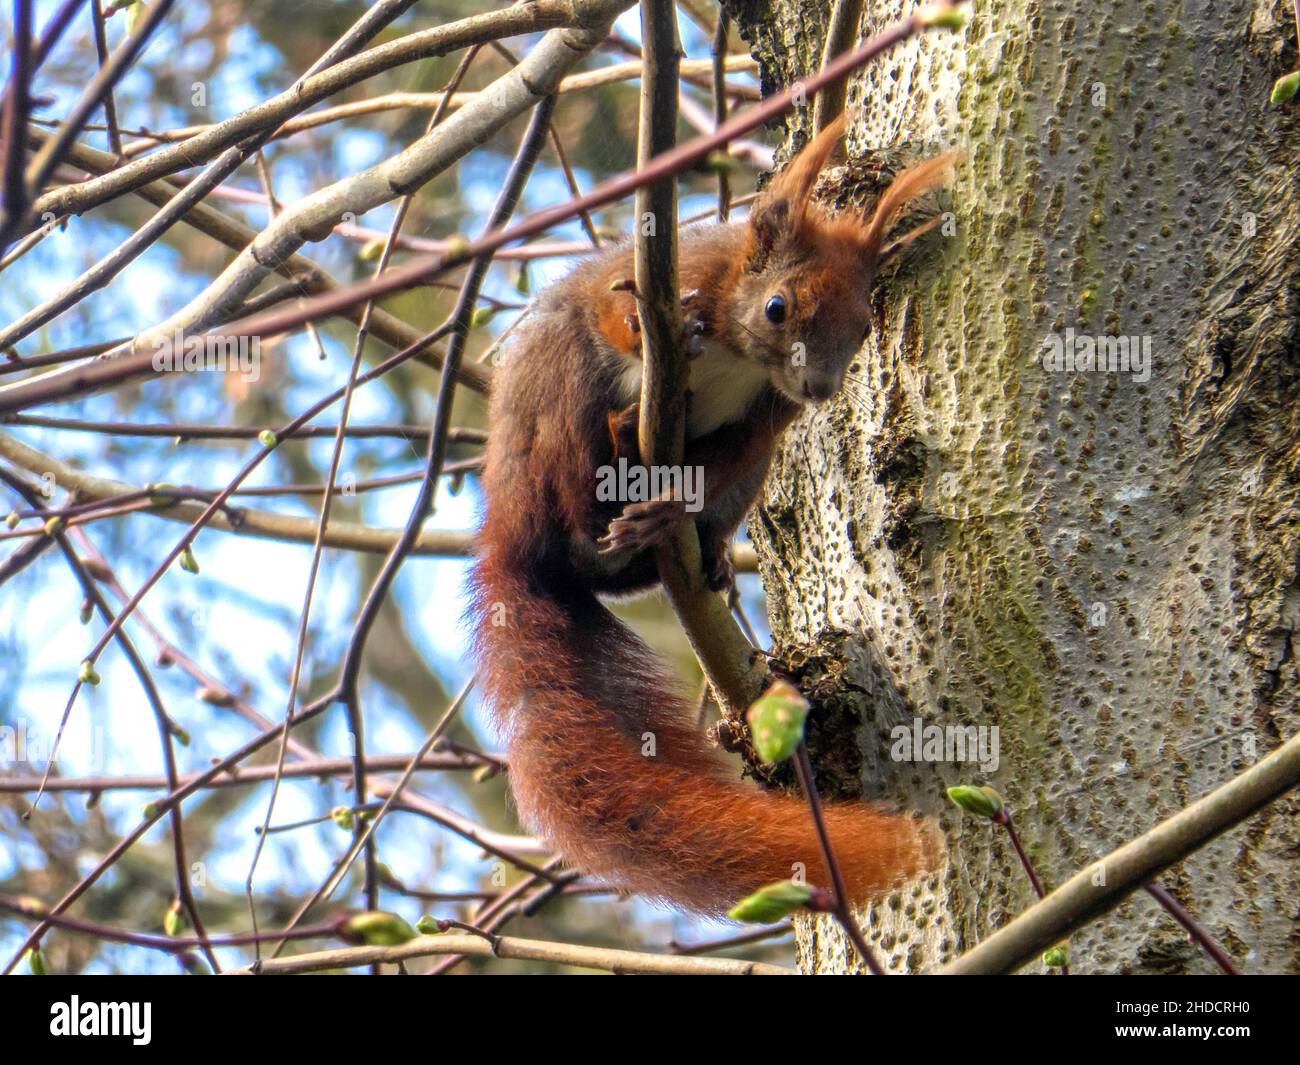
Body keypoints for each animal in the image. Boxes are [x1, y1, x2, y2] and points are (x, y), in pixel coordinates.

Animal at [469, 114, 957, 915]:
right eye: (779, 307)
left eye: (863, 328)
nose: (821, 387)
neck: (742, 348)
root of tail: (513, 541)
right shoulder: (672, 269)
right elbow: (611, 306)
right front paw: (652, 329)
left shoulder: (764, 423)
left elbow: (736, 451)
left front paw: (675, 508)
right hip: (553, 402)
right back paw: (610, 470)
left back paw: (693, 546)